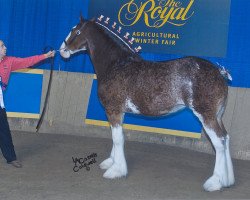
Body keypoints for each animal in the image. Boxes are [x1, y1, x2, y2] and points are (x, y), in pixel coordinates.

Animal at [60, 15, 234, 191]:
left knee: (219, 142)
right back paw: (228, 180)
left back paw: (215, 182)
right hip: (218, 116)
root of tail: (219, 72)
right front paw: (111, 162)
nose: (62, 50)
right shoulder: (117, 112)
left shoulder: (113, 110)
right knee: (226, 138)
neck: (116, 64)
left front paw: (116, 170)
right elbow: (116, 137)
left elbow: (117, 139)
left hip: (207, 116)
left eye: (76, 31)